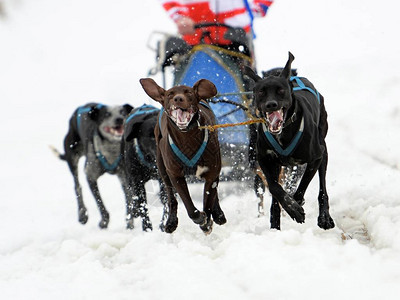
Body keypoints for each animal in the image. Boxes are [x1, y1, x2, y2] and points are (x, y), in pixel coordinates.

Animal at [139, 79, 227, 234]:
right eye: (170, 94)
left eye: (189, 93)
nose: (178, 99)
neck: (187, 137)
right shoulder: (176, 175)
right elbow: (189, 207)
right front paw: (201, 219)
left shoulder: (212, 172)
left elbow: (209, 199)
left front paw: (207, 221)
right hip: (162, 168)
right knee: (171, 197)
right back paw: (171, 222)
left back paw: (218, 214)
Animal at [244, 52, 334, 230]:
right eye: (261, 92)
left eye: (281, 90)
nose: (271, 105)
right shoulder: (264, 160)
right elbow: (275, 188)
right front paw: (288, 209)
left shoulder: (315, 158)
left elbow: (301, 186)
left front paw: (295, 206)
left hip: (323, 151)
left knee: (322, 188)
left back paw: (324, 218)